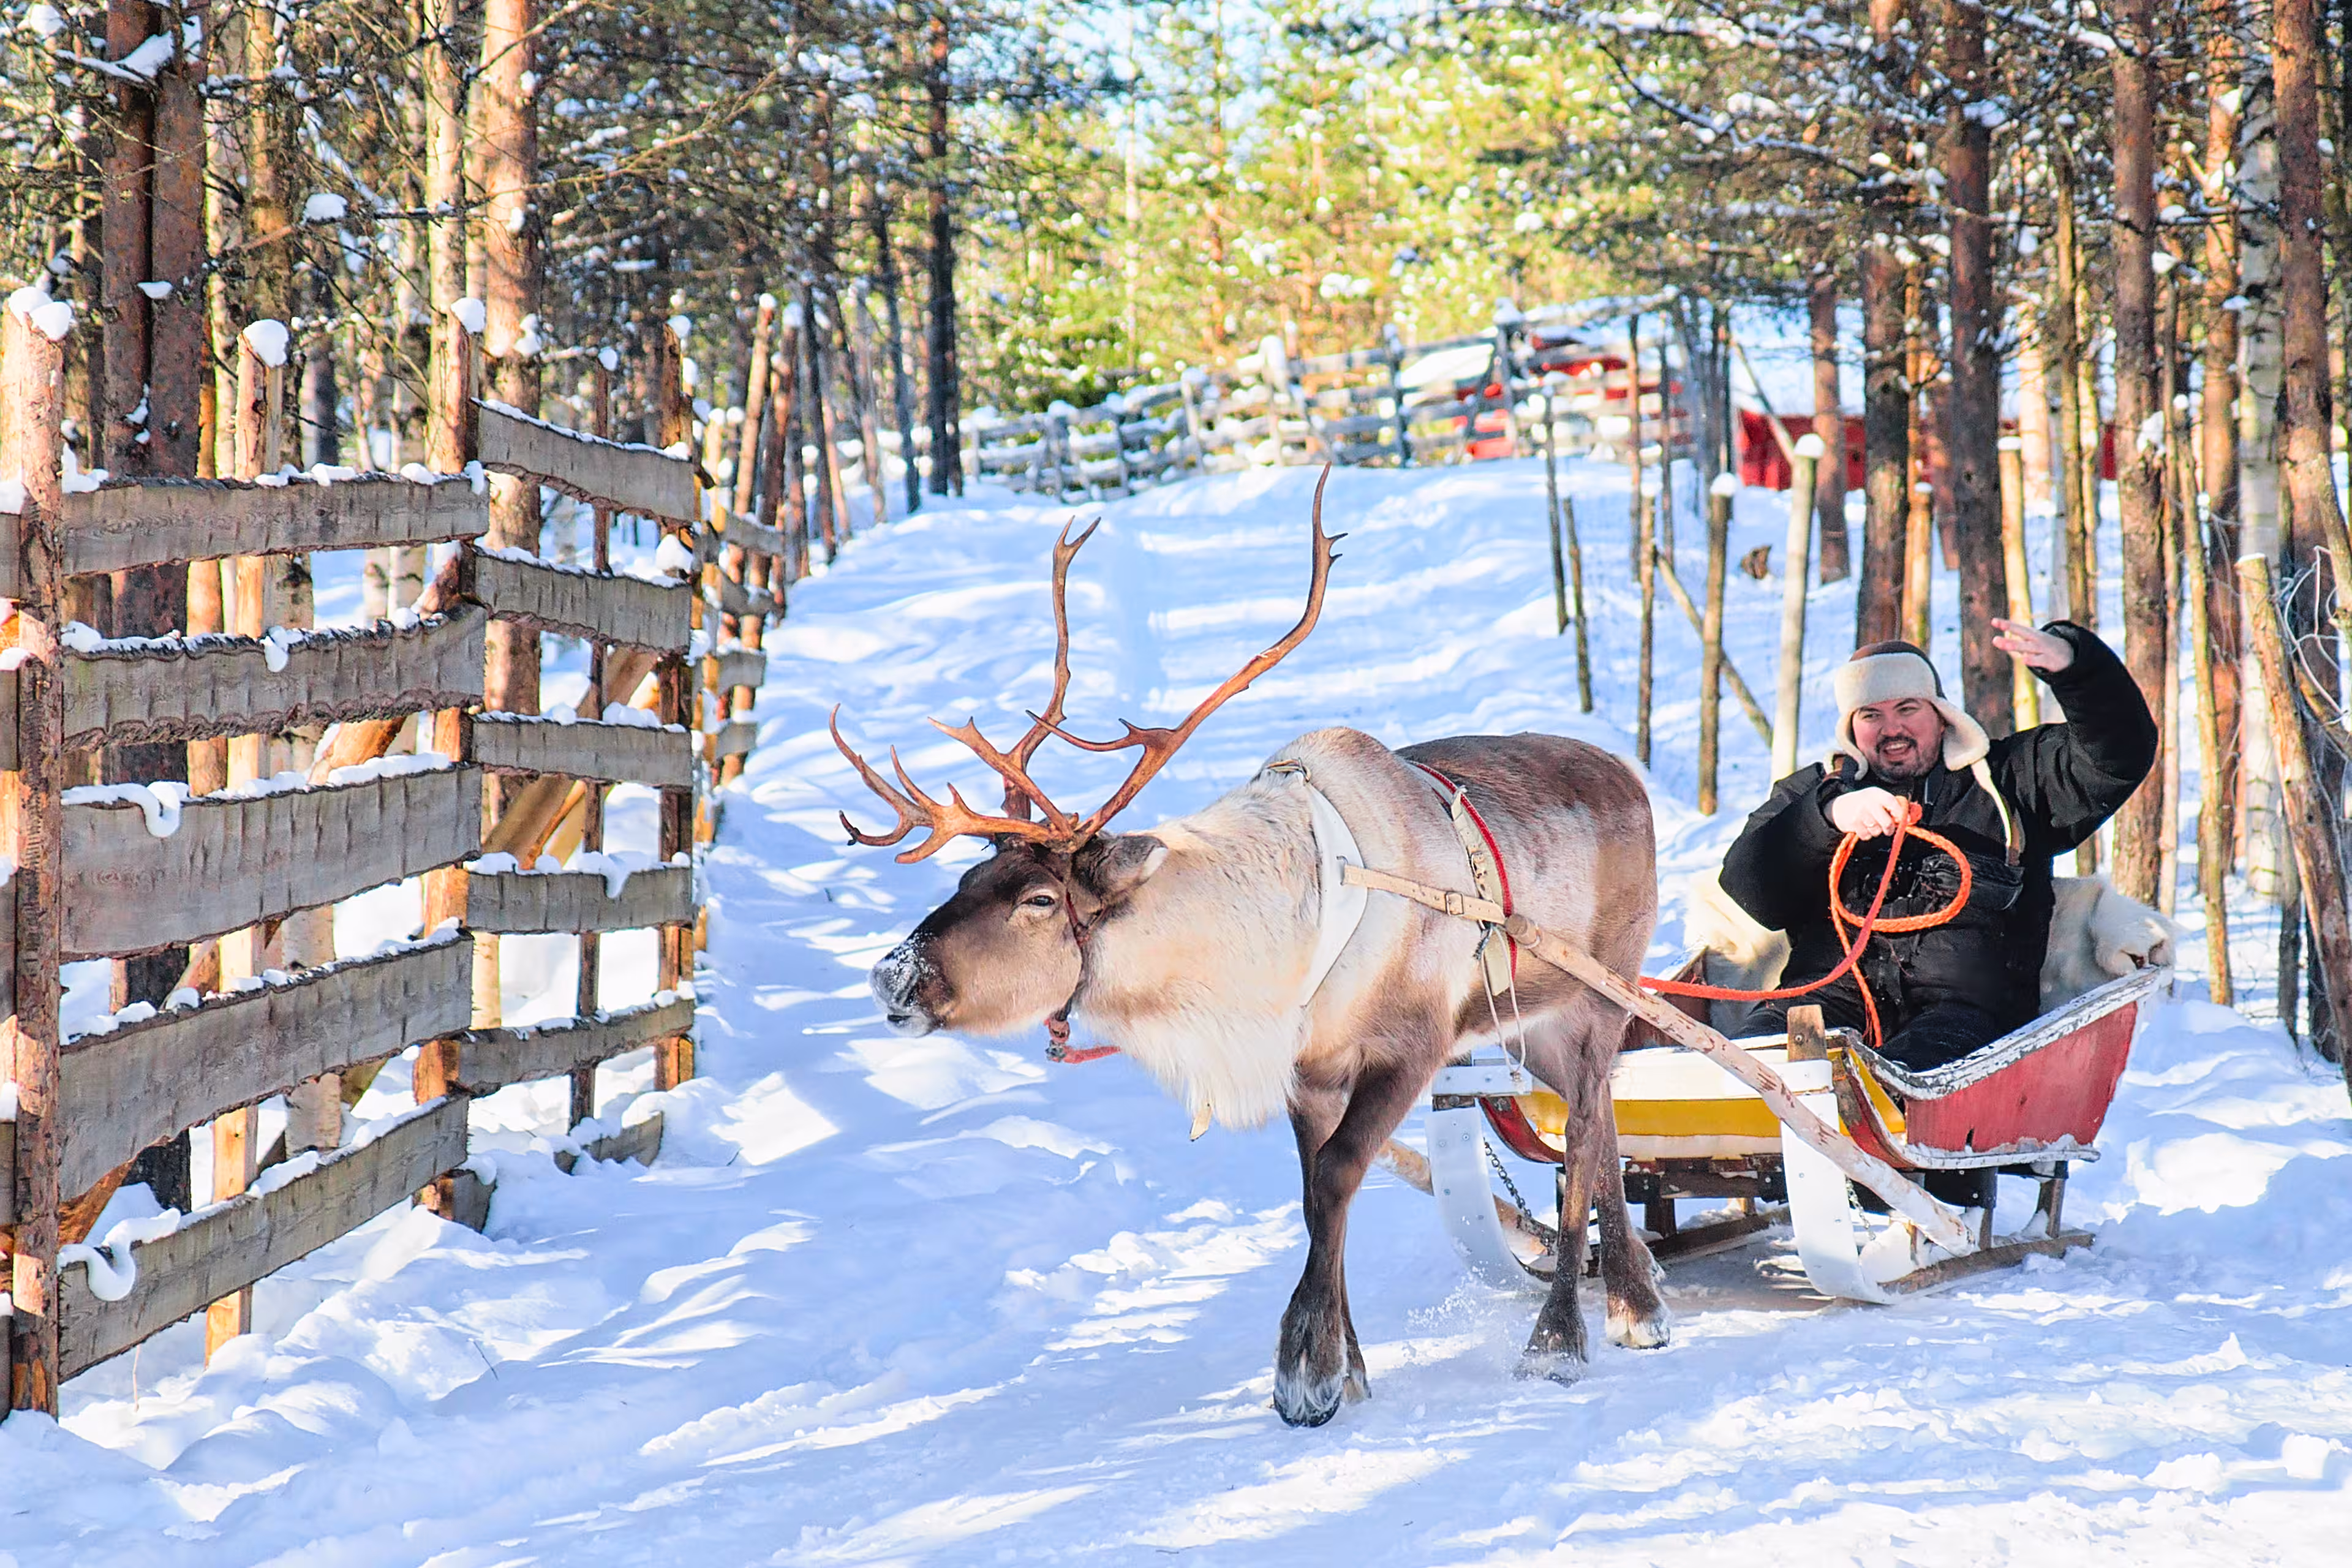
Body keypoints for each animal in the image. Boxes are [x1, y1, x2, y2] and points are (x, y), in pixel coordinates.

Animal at [833, 477, 1671, 1428]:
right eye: (971, 873)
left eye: (1039, 900)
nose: (893, 974)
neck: (1243, 962)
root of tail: (1628, 773)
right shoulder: (1308, 1069)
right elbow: (1315, 1195)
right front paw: (1349, 1365)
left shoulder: (1410, 1045)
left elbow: (1339, 1175)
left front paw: (1305, 1370)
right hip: (1532, 1022)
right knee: (1602, 1114)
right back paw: (1635, 1299)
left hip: (1601, 992)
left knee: (1587, 1130)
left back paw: (1564, 1336)